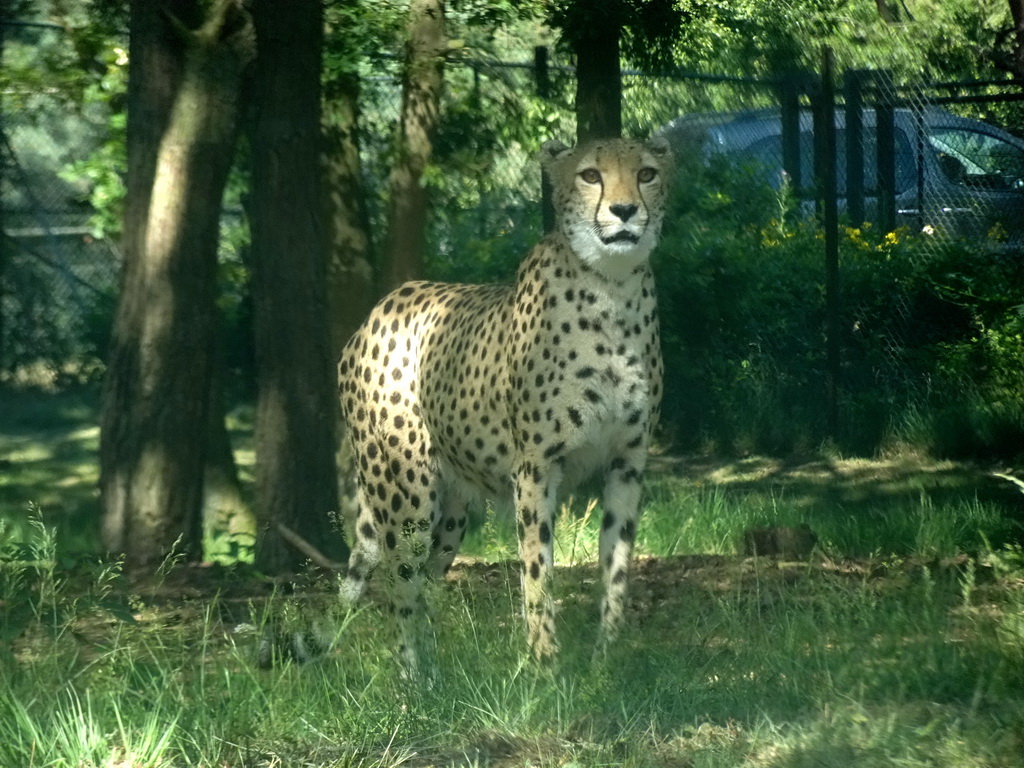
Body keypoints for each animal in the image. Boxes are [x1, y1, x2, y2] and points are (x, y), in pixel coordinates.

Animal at [335, 135, 671, 663]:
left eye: (647, 174)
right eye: (590, 175)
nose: (624, 210)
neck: (611, 289)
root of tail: (381, 306)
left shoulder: (628, 462)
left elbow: (616, 567)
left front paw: (606, 658)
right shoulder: (534, 466)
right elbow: (537, 568)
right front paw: (545, 663)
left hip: (451, 510)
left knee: (426, 582)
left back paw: (438, 669)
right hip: (406, 493)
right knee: (399, 585)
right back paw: (414, 677)